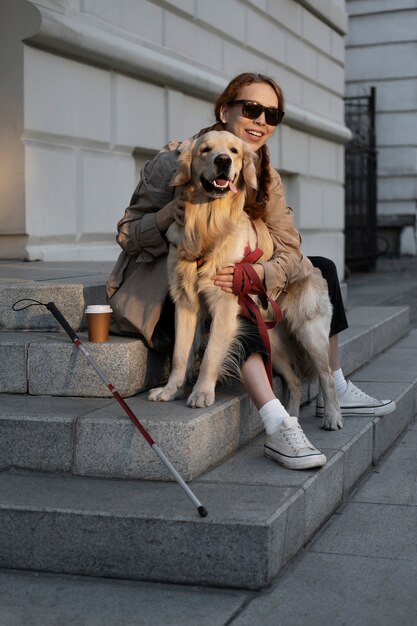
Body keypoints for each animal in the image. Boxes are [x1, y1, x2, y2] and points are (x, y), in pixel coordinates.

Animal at [147, 127, 342, 428]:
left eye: (234, 150)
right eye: (205, 149)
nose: (223, 161)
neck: (207, 225)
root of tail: (309, 264)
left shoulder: (225, 304)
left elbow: (211, 354)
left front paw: (201, 393)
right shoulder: (186, 303)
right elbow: (180, 355)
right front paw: (170, 391)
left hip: (309, 332)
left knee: (327, 377)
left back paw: (332, 416)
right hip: (272, 340)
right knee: (296, 380)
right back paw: (292, 417)